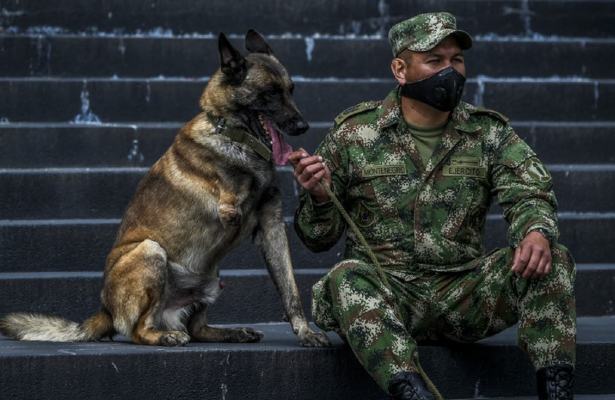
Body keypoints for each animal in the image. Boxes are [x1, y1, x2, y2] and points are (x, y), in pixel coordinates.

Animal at [0, 30, 332, 346]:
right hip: (151, 251)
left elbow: (289, 289)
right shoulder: (230, 211)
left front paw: (306, 332)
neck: (232, 135)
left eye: (291, 90)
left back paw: (233, 332)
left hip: (210, 279)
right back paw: (165, 336)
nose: (303, 126)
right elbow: (233, 198)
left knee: (197, 328)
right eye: (270, 94)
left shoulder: (271, 227)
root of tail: (105, 311)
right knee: (139, 329)